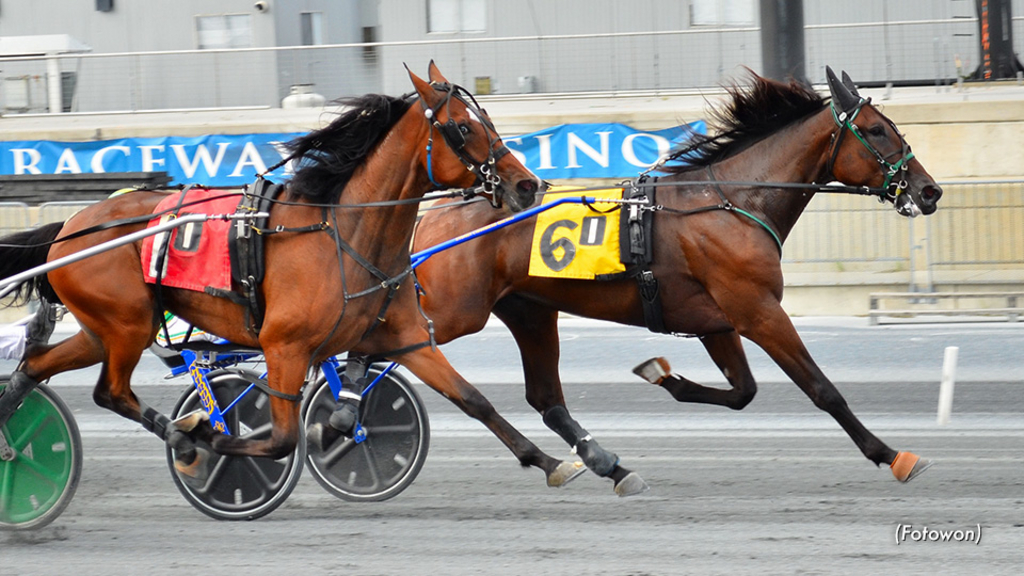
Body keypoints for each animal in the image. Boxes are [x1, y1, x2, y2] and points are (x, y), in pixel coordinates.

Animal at [0, 63, 593, 487]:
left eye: (490, 121)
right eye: (464, 128)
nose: (526, 185)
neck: (344, 234)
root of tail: (69, 226)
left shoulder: (406, 338)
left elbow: (474, 400)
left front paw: (553, 462)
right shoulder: (284, 348)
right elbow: (282, 439)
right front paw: (212, 439)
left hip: (108, 328)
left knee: (38, 364)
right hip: (127, 326)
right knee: (110, 392)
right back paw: (185, 439)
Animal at [409, 65, 942, 491]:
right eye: (876, 131)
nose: (929, 190)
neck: (732, 202)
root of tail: (430, 217)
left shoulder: (718, 321)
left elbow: (743, 392)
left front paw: (664, 376)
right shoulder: (759, 311)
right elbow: (823, 389)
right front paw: (891, 455)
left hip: (530, 311)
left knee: (545, 398)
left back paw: (601, 464)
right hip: (452, 310)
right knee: (408, 347)